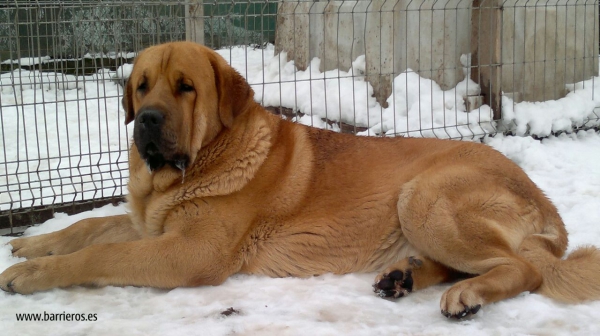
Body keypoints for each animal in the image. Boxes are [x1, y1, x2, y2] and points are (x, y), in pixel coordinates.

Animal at [1, 41, 600, 318]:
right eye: (142, 86)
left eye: (185, 87)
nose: (145, 120)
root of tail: (544, 201)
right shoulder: (154, 227)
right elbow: (89, 228)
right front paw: (32, 245)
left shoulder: (189, 251)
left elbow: (100, 254)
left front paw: (31, 276)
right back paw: (401, 276)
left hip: (424, 198)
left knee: (525, 269)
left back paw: (468, 294)